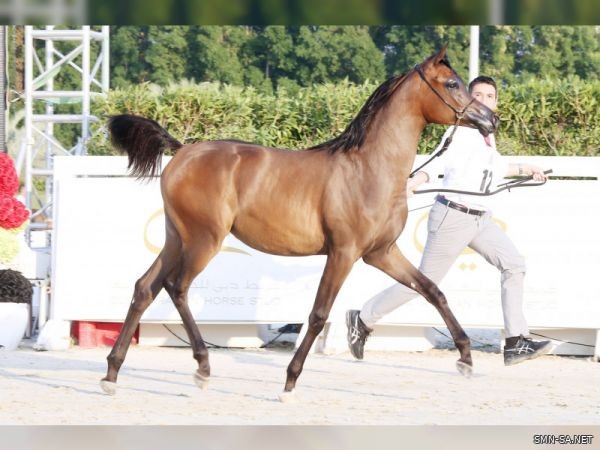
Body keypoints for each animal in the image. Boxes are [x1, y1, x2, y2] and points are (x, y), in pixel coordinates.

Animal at [102, 45, 496, 400]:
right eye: (451, 83)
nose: (490, 119)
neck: (369, 168)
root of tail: (183, 150)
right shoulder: (344, 253)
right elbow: (319, 314)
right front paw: (290, 383)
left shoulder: (381, 253)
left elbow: (432, 290)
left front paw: (465, 358)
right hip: (204, 240)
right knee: (176, 287)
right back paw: (202, 367)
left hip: (176, 238)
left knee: (145, 288)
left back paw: (111, 373)